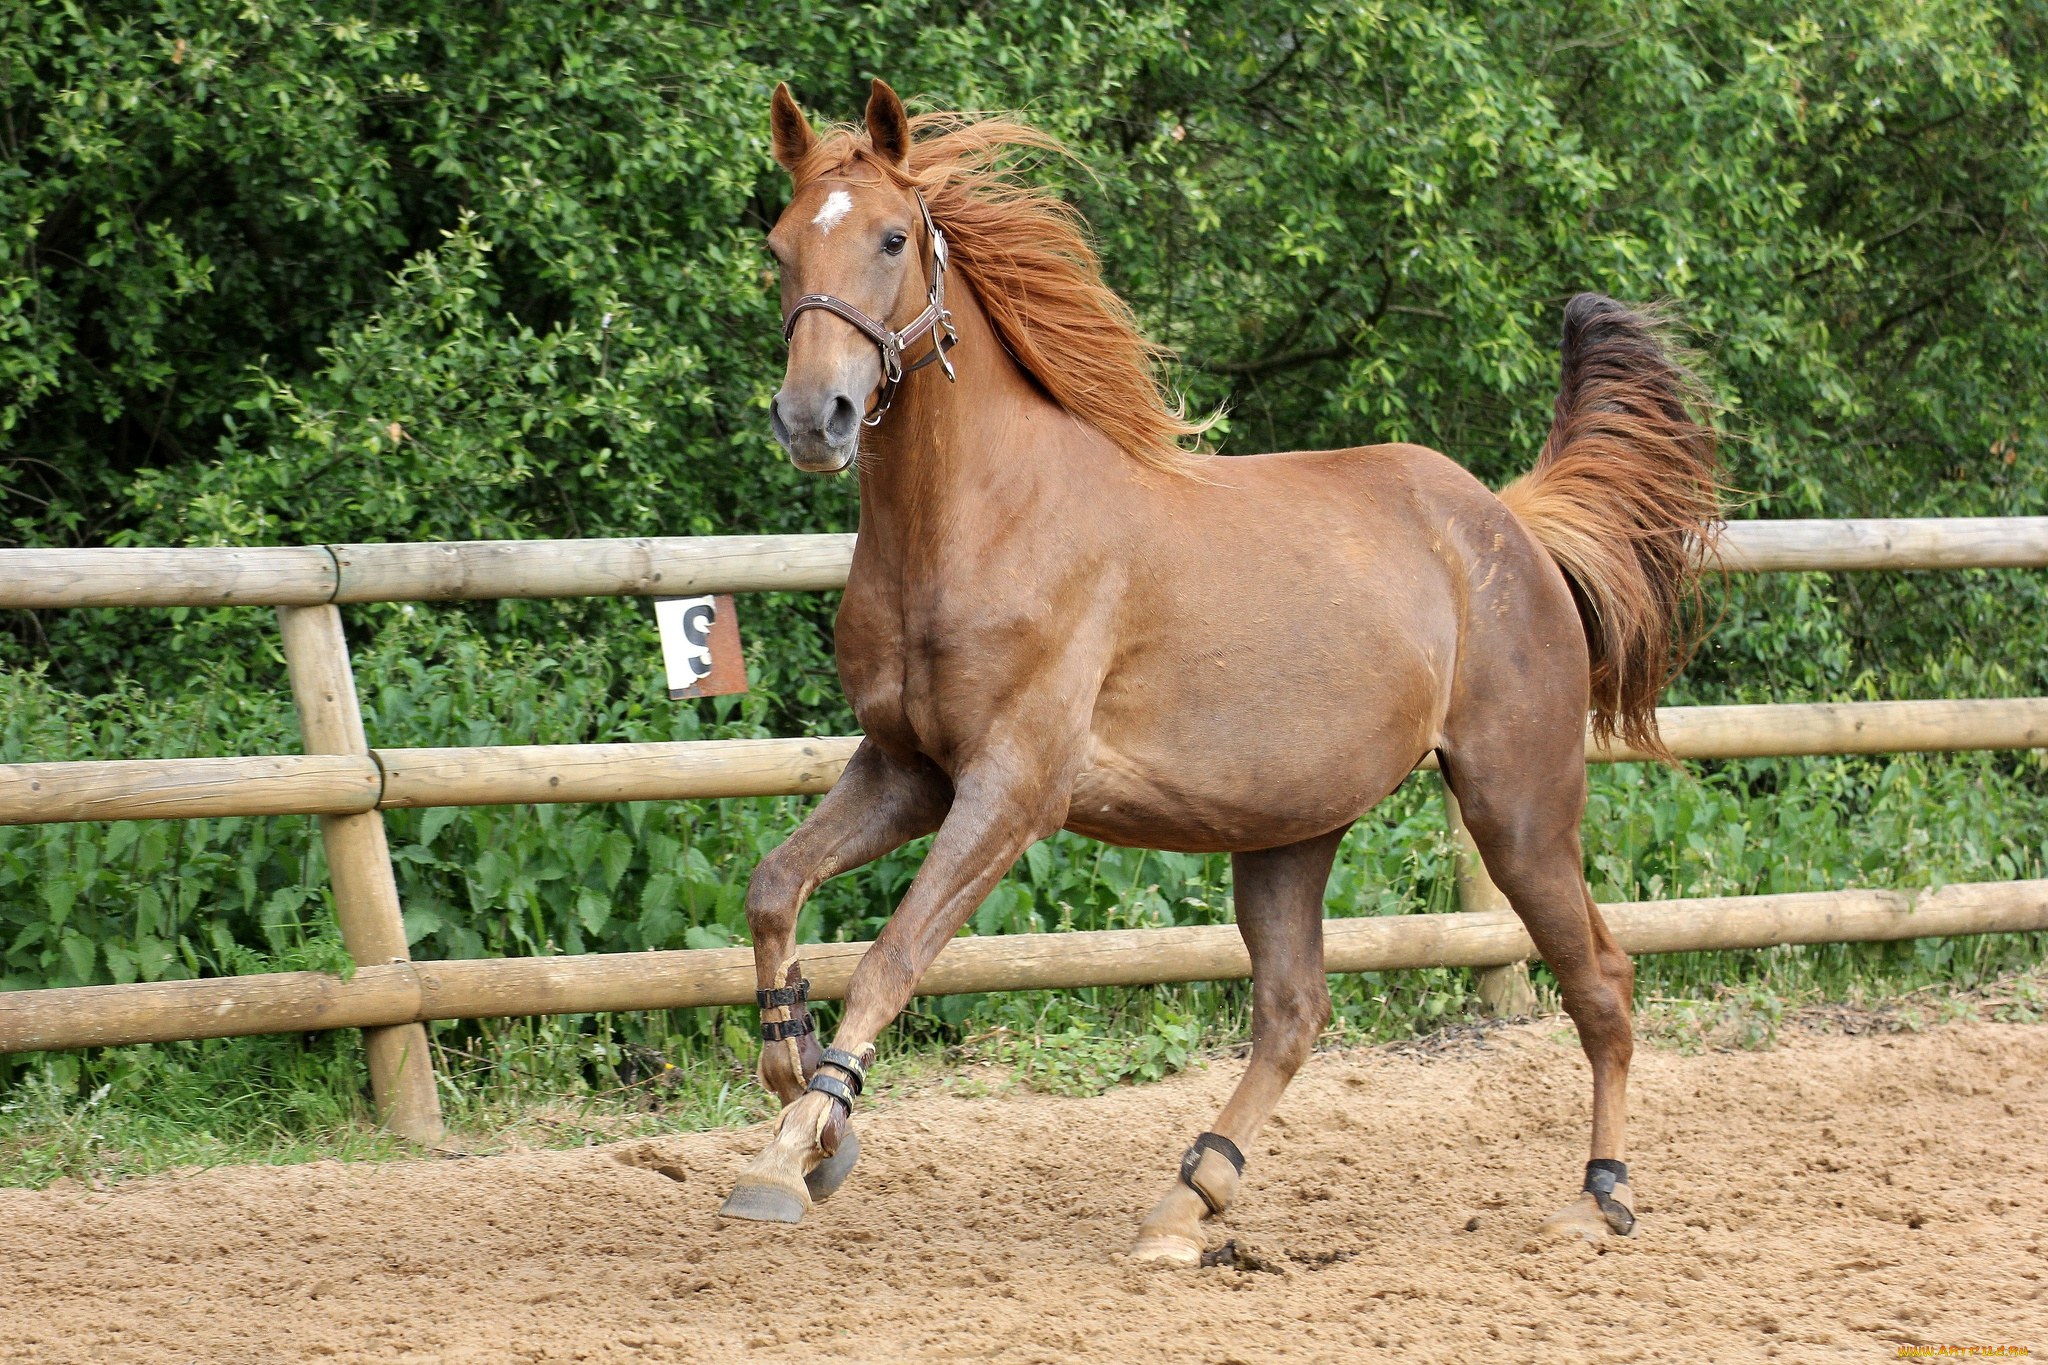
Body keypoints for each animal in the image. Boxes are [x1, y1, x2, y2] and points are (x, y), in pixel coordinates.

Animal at [729, 80, 1720, 1268]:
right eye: (780, 247)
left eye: (889, 237)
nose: (811, 418)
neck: (978, 523)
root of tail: (1511, 523)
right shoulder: (904, 769)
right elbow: (773, 886)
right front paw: (797, 1091)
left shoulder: (1012, 789)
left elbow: (889, 957)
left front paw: (797, 1149)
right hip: (1291, 828)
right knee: (1293, 1011)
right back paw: (1187, 1197)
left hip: (1516, 805)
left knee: (1601, 982)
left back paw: (1598, 1197)